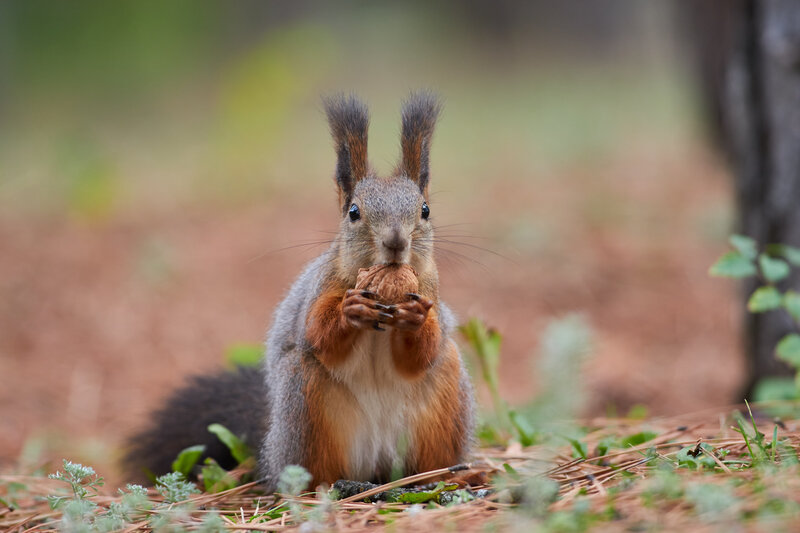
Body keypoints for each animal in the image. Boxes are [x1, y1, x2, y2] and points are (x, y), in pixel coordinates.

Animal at [124, 92, 475, 492]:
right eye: (353, 212)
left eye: (425, 210)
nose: (396, 242)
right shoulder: (321, 289)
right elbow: (318, 335)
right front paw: (351, 310)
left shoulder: (431, 291)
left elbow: (421, 354)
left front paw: (415, 318)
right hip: (304, 407)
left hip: (444, 403)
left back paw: (441, 479)